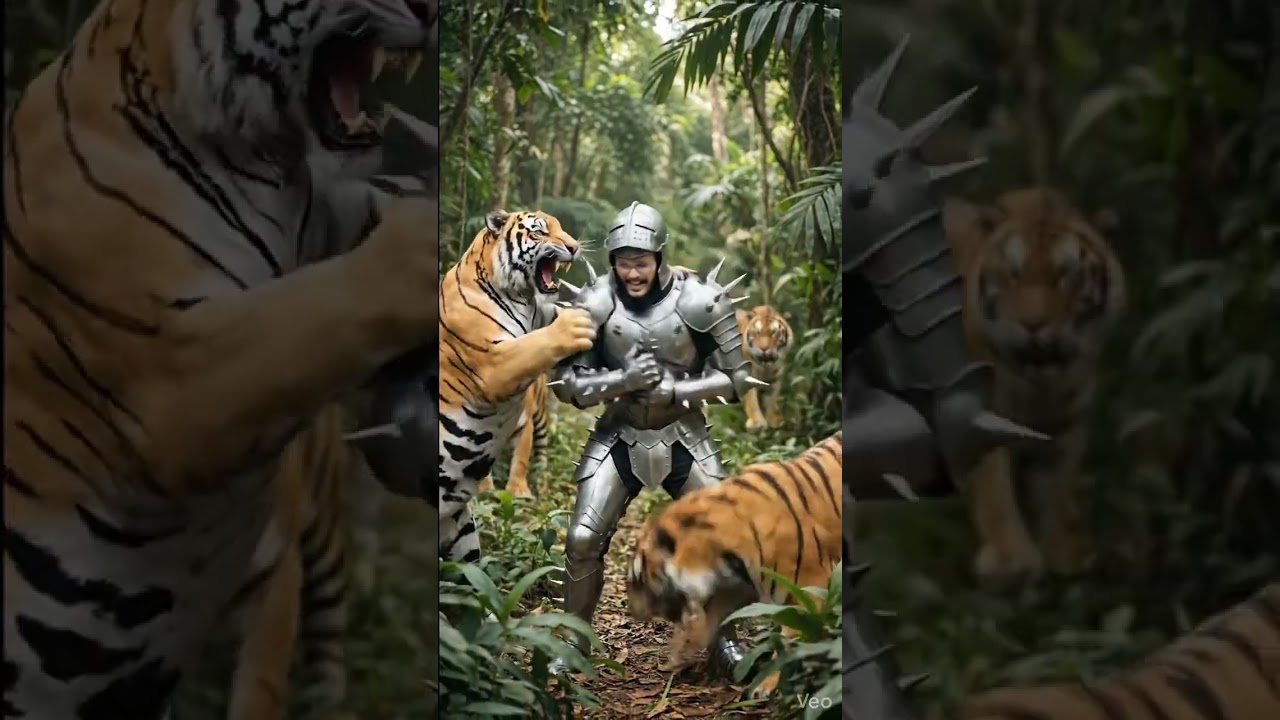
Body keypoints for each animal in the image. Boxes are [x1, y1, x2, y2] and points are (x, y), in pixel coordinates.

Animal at [438, 210, 595, 561]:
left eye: (562, 228)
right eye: (540, 232)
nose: (575, 247)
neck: (521, 298)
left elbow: (521, 455)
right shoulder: (494, 364)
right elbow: (536, 344)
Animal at [627, 432, 843, 698]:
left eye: (638, 577)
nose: (633, 612)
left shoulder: (808, 590)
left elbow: (789, 641)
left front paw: (766, 684)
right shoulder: (732, 588)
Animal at [945, 187, 1126, 590]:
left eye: (1066, 276)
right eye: (1013, 275)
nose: (1033, 324)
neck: (1040, 385)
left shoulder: (1067, 421)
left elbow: (1060, 481)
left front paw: (1067, 552)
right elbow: (995, 490)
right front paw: (1011, 561)